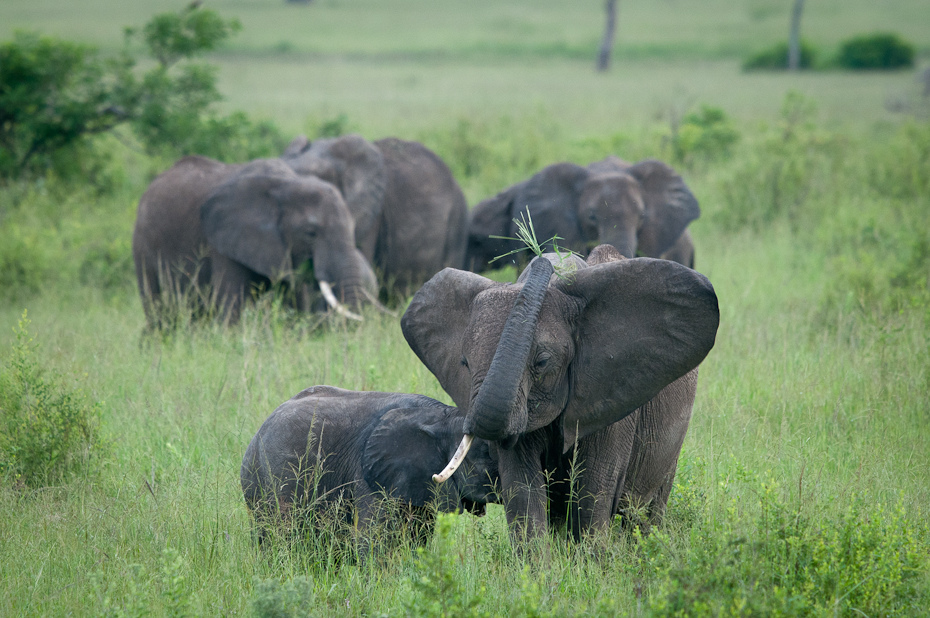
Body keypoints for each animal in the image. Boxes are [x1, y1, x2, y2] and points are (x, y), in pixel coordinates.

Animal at [131, 156, 376, 324]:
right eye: (310, 233)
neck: (287, 183)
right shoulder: (222, 239)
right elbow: (232, 305)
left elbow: (294, 301)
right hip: (143, 243)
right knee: (157, 307)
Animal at [400, 243, 716, 540]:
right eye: (465, 363)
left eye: (542, 362)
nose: (542, 258)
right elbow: (523, 493)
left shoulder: (612, 395)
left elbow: (593, 494)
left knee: (645, 514)